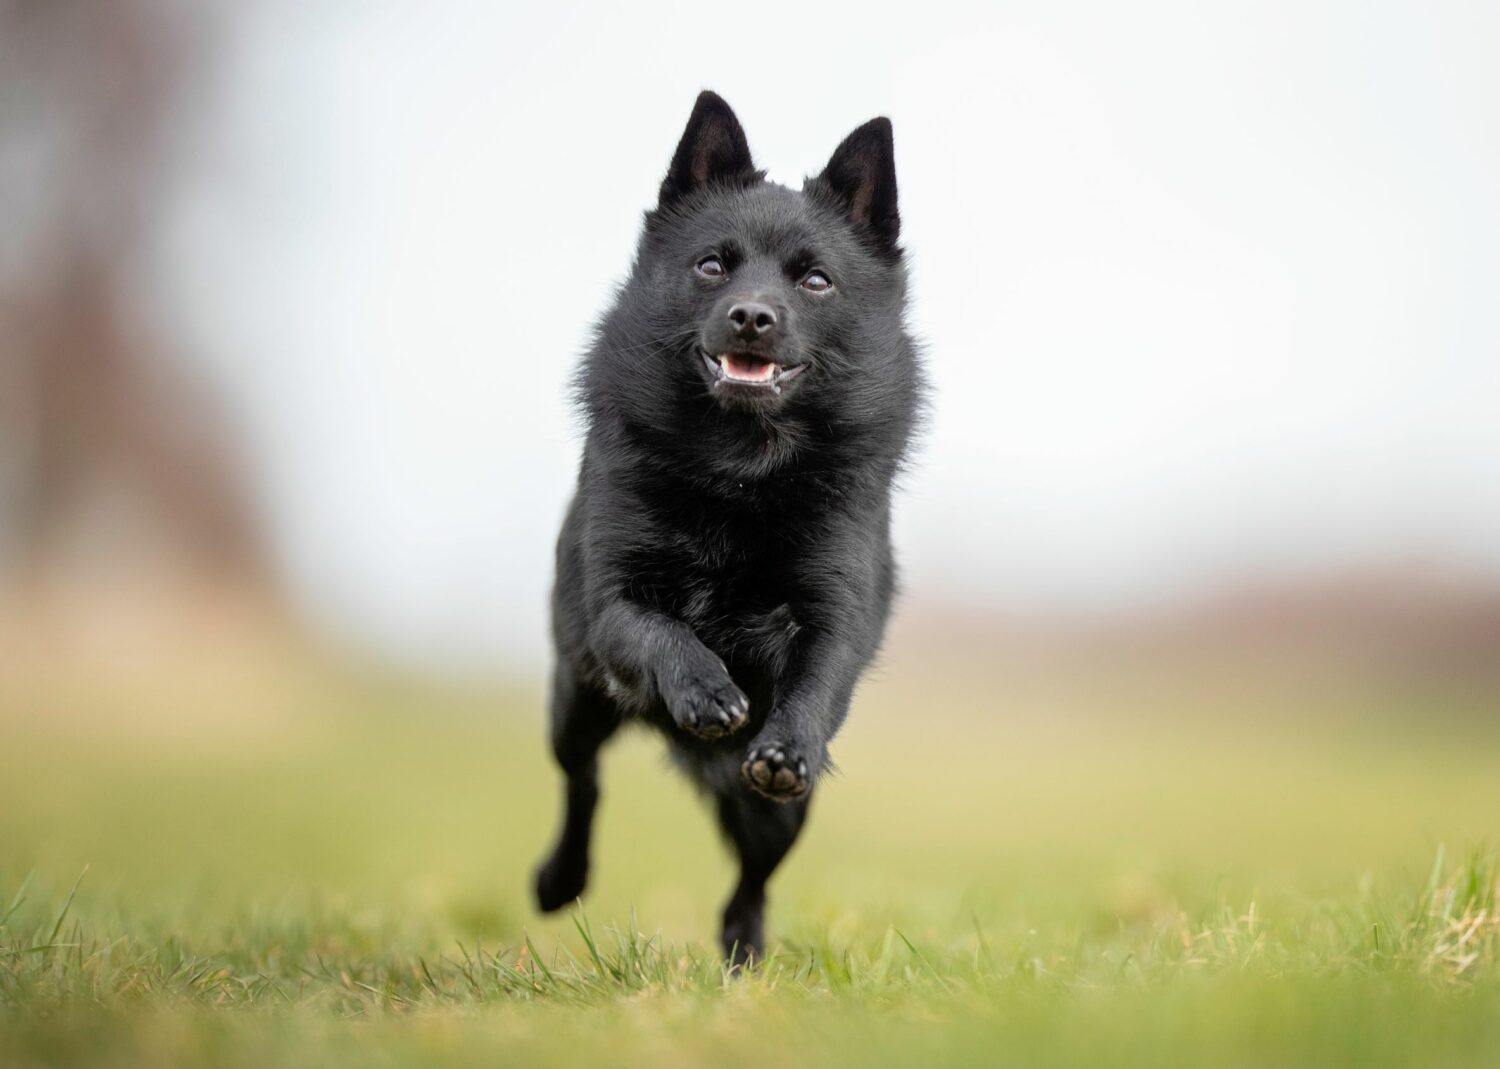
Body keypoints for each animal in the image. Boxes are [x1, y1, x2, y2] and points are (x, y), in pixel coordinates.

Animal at [534, 89, 918, 959]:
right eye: (712, 264)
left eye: (815, 280)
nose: (751, 316)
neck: (739, 476)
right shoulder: (614, 606)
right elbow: (662, 631)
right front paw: (707, 688)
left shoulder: (834, 615)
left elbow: (816, 678)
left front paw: (787, 740)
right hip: (575, 702)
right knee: (583, 782)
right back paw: (559, 878)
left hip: (782, 815)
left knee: (753, 876)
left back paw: (744, 948)